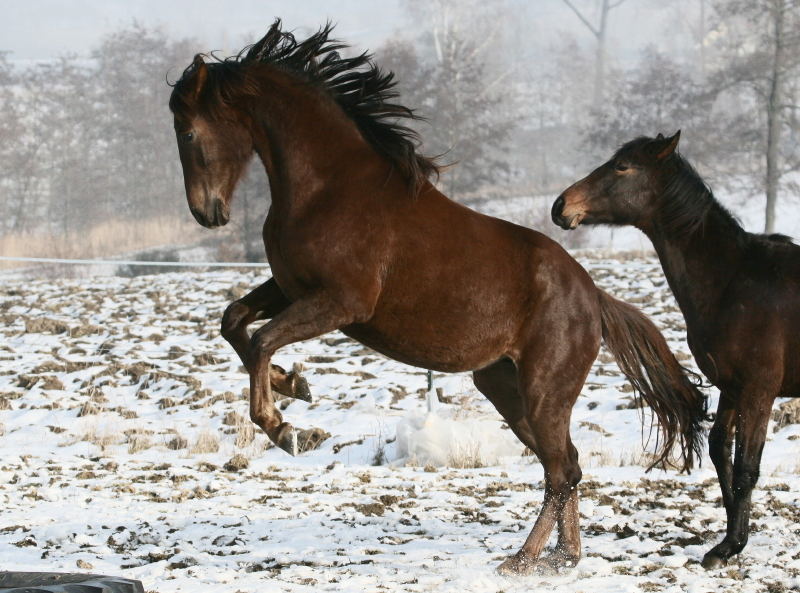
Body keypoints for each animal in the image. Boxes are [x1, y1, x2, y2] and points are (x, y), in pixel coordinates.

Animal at [170, 23, 708, 572]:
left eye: (187, 132)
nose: (207, 213)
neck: (328, 187)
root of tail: (594, 296)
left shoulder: (341, 302)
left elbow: (260, 341)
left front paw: (289, 431)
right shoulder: (289, 286)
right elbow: (234, 321)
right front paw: (293, 384)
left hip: (544, 392)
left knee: (561, 471)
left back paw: (523, 560)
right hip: (505, 388)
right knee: (569, 466)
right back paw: (563, 556)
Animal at [552, 131, 800, 568]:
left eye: (622, 166)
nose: (561, 206)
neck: (733, 279)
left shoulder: (759, 390)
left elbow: (746, 467)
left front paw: (732, 546)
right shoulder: (732, 387)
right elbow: (720, 450)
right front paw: (727, 538)